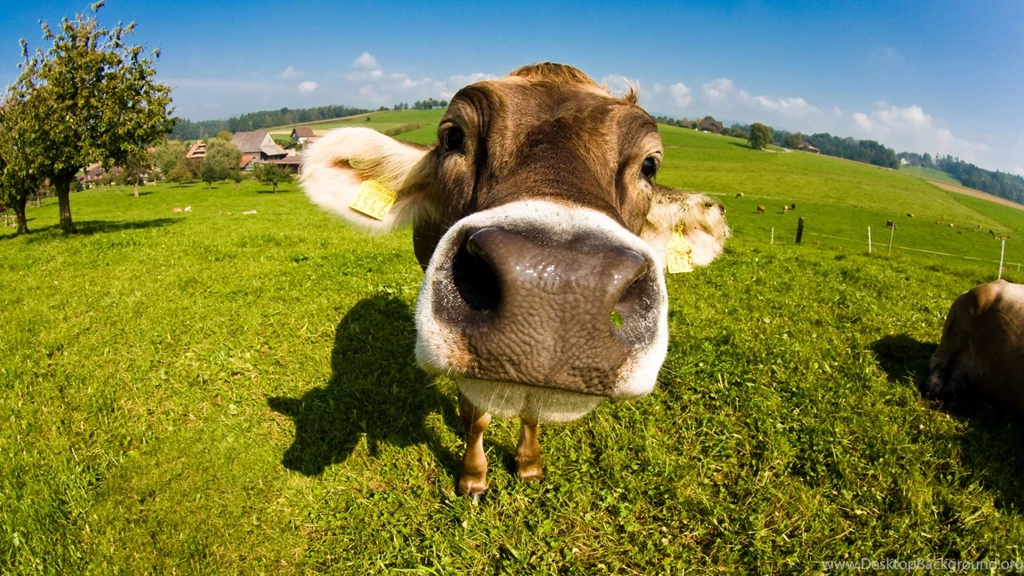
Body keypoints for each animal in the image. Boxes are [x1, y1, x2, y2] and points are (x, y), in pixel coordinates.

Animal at [301, 63, 730, 497]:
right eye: (453, 136)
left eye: (649, 165)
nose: (559, 283)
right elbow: (475, 415)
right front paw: (473, 476)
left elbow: (532, 412)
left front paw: (528, 464)